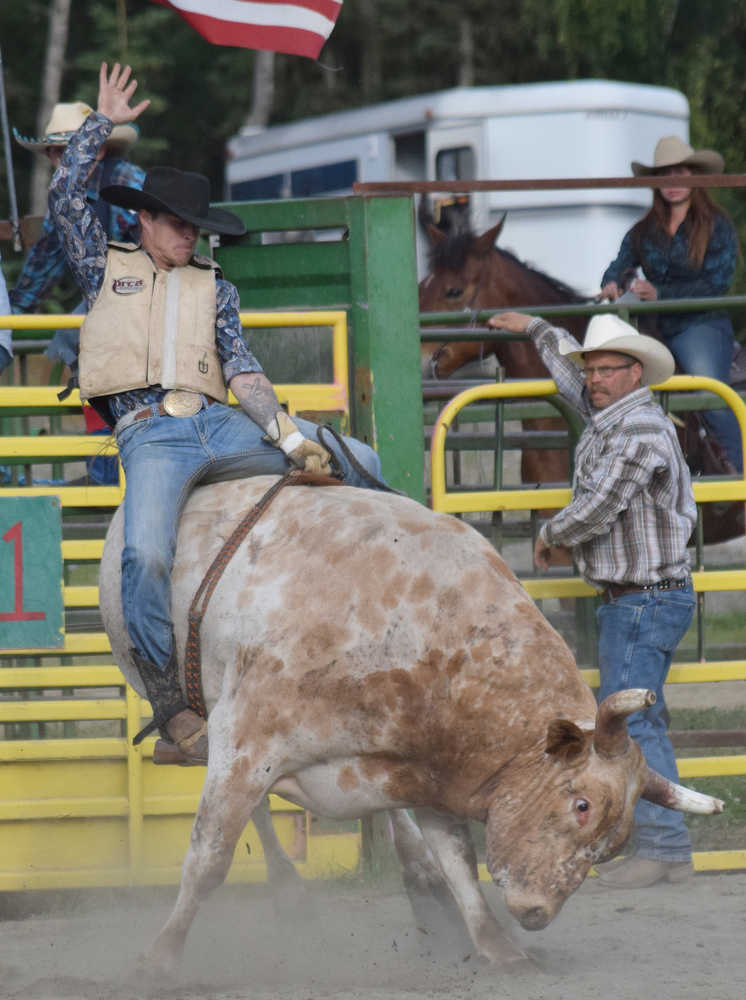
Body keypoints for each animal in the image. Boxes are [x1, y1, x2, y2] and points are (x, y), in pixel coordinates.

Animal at [100, 476, 720, 976]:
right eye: (582, 804)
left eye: (615, 843)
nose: (538, 913)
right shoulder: (246, 740)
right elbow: (209, 857)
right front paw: (160, 958)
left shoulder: (430, 769)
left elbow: (459, 861)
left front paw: (498, 947)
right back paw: (291, 893)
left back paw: (421, 890)